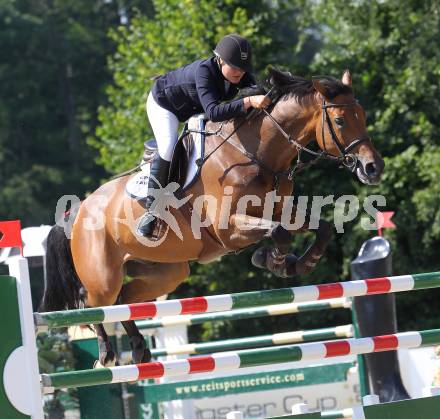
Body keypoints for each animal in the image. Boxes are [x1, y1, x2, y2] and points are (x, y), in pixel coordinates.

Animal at [41, 69, 384, 368]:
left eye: (363, 116)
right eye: (339, 120)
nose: (373, 168)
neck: (256, 154)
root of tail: (79, 209)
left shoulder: (279, 211)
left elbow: (318, 227)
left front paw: (298, 263)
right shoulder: (227, 230)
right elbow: (279, 233)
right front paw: (271, 260)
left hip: (165, 272)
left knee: (125, 300)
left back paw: (139, 348)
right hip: (103, 276)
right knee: (92, 303)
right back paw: (106, 352)